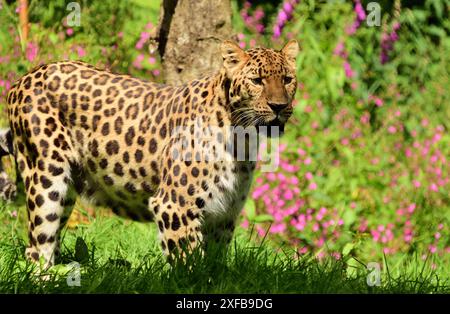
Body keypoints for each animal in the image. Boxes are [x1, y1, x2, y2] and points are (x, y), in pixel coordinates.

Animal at [0, 39, 298, 268]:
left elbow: (214, 265)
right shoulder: (175, 206)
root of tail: (24, 77)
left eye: (287, 80)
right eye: (257, 81)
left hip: (67, 192)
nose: (279, 106)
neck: (242, 137)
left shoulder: (224, 214)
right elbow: (191, 265)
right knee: (38, 247)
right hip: (47, 180)